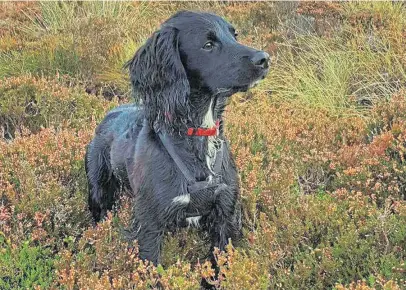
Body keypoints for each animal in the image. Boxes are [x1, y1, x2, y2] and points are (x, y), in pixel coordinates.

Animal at [85, 10, 270, 266]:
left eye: (235, 35)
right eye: (208, 45)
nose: (264, 58)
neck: (197, 133)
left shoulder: (226, 214)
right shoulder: (150, 224)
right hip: (98, 188)